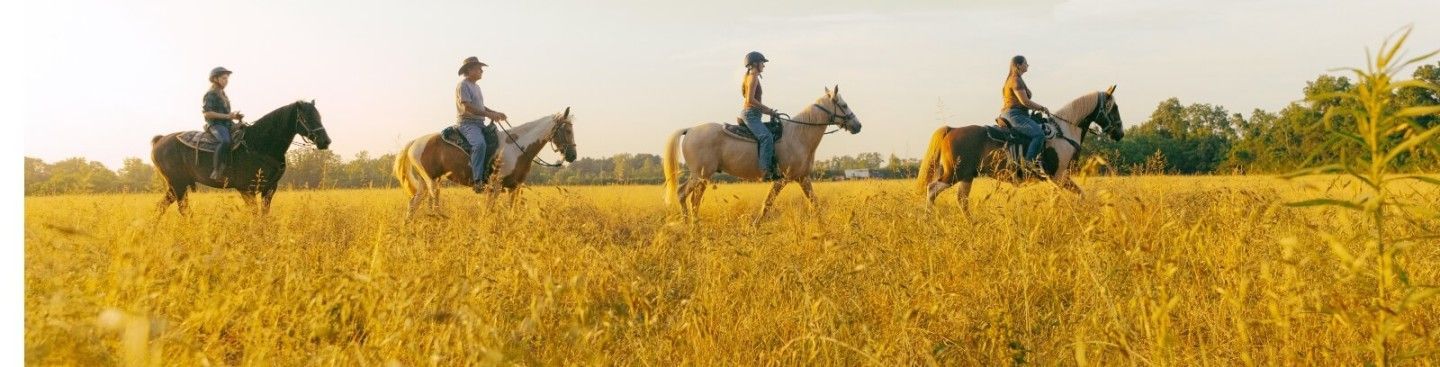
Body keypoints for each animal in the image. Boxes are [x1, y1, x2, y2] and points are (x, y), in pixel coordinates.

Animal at [151, 98, 331, 215]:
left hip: (177, 185)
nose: (325, 141)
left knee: (162, 207)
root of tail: (160, 139)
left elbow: (264, 214)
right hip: (178, 183)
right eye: (306, 117)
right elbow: (254, 214)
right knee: (182, 210)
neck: (260, 145)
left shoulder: (269, 188)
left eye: (319, 116)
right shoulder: (246, 189)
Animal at [394, 108, 578, 217]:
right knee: (433, 205)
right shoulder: (495, 186)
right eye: (568, 130)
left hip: (425, 183)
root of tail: (415, 142)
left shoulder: (515, 187)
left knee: (413, 205)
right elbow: (489, 211)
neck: (517, 147)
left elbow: (511, 212)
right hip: (432, 182)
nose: (572, 156)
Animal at [659, 86, 858, 223]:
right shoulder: (782, 179)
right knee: (686, 196)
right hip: (701, 175)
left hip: (701, 177)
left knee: (688, 197)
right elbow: (767, 204)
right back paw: (692, 225)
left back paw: (690, 224)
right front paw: (756, 225)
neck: (799, 135)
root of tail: (690, 130)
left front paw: (824, 225)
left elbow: (815, 203)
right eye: (844, 105)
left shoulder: (803, 178)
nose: (858, 125)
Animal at [915, 84, 1128, 213]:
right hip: (954, 174)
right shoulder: (1059, 176)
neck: (1065, 130)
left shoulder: (1058, 179)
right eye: (1114, 107)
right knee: (932, 190)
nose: (1120, 133)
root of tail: (951, 129)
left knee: (961, 200)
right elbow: (1069, 198)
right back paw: (929, 218)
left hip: (967, 176)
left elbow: (1072, 197)